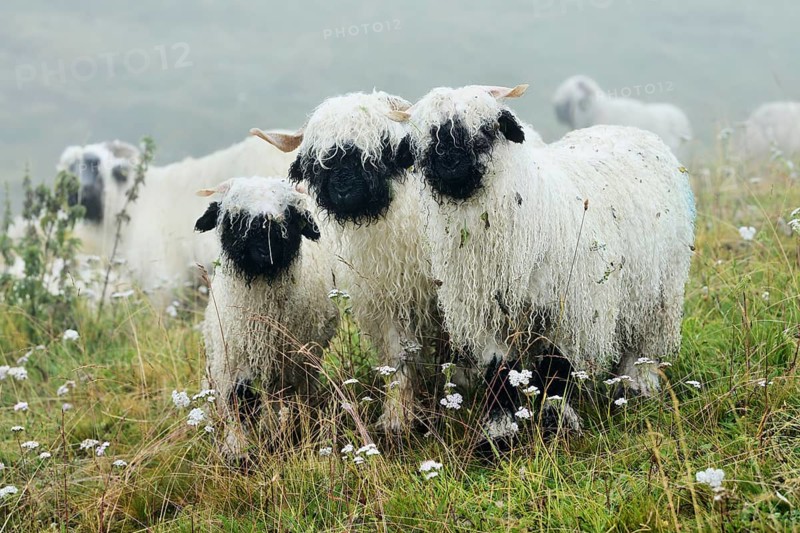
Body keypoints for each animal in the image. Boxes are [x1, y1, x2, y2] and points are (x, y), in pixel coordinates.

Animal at [194, 176, 339, 460]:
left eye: (289, 218)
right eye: (235, 219)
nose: (266, 253)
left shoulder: (288, 366)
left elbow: (275, 405)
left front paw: (274, 438)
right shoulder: (233, 360)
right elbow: (238, 402)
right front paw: (237, 450)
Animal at [251, 91, 443, 433]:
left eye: (381, 147)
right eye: (318, 160)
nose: (343, 188)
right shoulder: (391, 300)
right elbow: (400, 355)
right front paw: (396, 417)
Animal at [394, 84, 695, 438]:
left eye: (487, 131)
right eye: (425, 137)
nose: (450, 164)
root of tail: (629, 129)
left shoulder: (570, 308)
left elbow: (556, 366)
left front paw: (556, 419)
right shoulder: (490, 315)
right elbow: (501, 371)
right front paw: (500, 430)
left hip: (659, 291)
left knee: (642, 346)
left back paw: (637, 386)